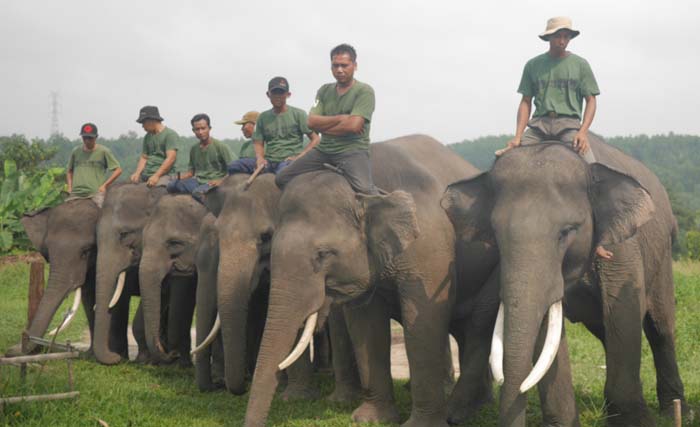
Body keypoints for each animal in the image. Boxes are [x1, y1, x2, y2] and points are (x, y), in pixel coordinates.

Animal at [242, 135, 498, 427]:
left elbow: (423, 319)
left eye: (323, 254)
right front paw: (371, 419)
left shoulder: (430, 247)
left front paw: (419, 425)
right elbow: (366, 324)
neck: (366, 188)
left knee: (477, 325)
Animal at [440, 139, 688, 426]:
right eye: (496, 234)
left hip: (663, 254)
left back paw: (678, 411)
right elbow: (547, 330)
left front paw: (635, 422)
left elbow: (622, 311)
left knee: (660, 326)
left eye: (566, 232)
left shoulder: (621, 248)